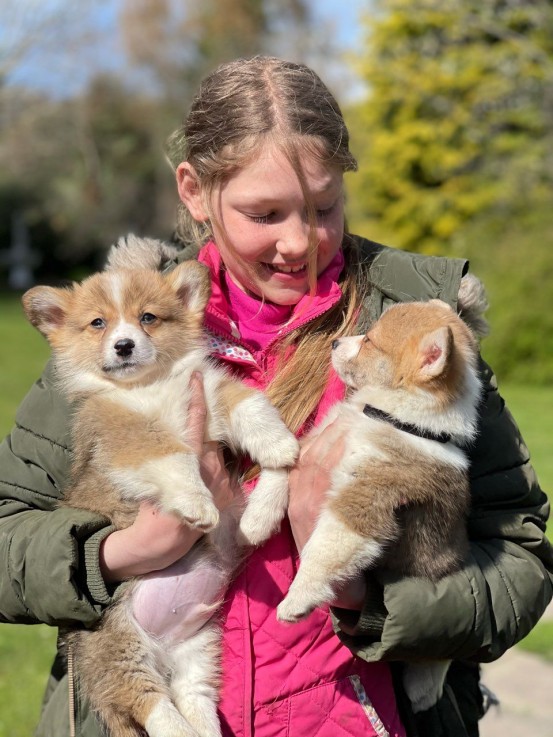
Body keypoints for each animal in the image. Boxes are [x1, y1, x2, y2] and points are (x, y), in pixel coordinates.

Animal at [22, 246, 298, 736]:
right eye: (98, 323)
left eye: (147, 317)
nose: (124, 345)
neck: (148, 387)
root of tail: (162, 645)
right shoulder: (129, 437)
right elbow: (176, 456)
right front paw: (197, 504)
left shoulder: (211, 393)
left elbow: (257, 415)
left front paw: (275, 471)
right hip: (118, 645)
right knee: (151, 705)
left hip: (199, 648)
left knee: (193, 697)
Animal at [239, 294, 486, 712]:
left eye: (369, 341)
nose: (337, 342)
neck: (390, 418)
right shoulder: (312, 443)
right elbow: (281, 470)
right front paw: (256, 519)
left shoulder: (365, 499)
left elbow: (323, 551)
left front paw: (296, 600)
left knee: (441, 653)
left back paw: (423, 689)